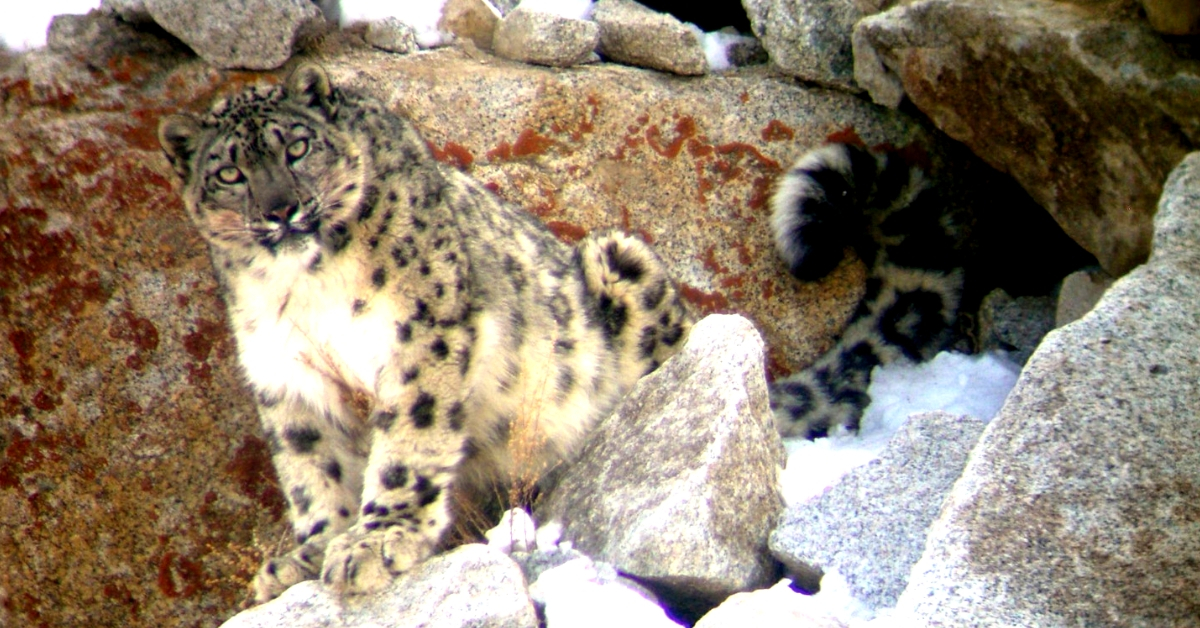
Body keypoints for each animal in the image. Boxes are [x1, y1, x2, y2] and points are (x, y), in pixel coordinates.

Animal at [157, 65, 696, 605]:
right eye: (229, 173)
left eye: (297, 147)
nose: (280, 209)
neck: (307, 284)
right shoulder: (286, 371)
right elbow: (312, 466)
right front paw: (311, 552)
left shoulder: (420, 331)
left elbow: (409, 438)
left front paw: (378, 540)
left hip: (616, 259)